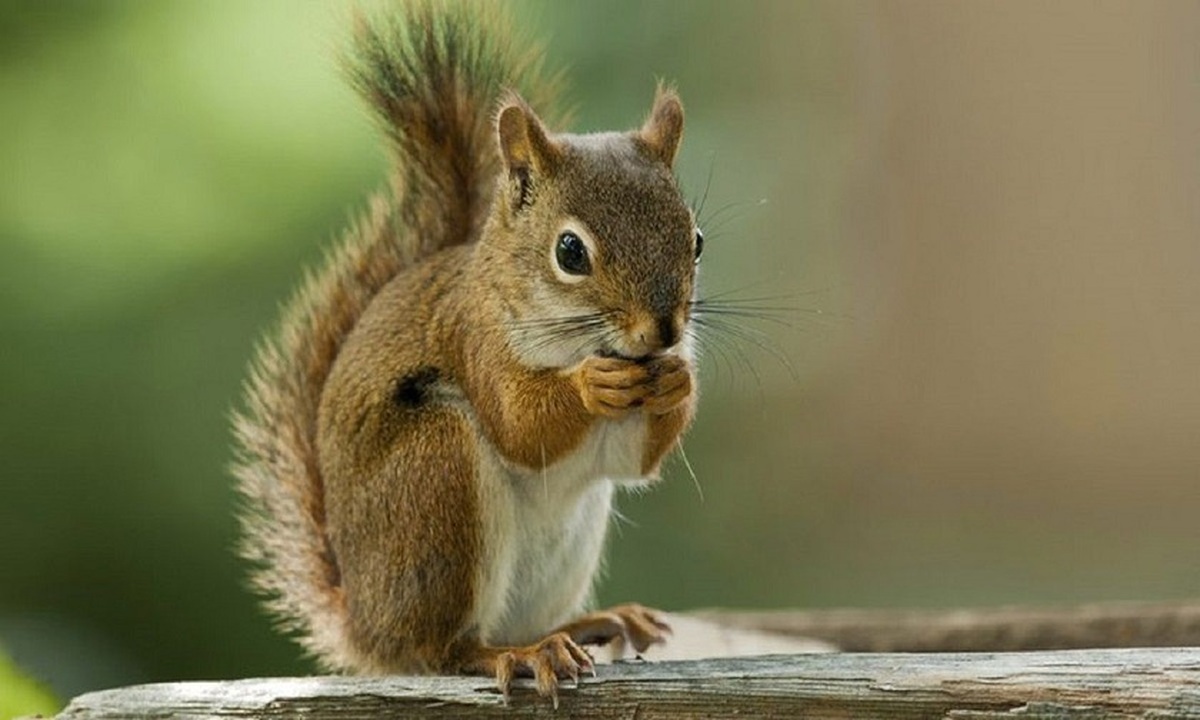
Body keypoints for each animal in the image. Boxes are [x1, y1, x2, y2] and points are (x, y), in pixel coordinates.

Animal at [231, 0, 700, 700]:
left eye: (696, 240)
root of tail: (366, 628)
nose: (665, 331)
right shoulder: (474, 339)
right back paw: (519, 655)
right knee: (444, 650)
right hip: (436, 476)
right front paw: (591, 386)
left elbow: (632, 460)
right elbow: (519, 424)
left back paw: (589, 625)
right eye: (570, 251)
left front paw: (678, 381)